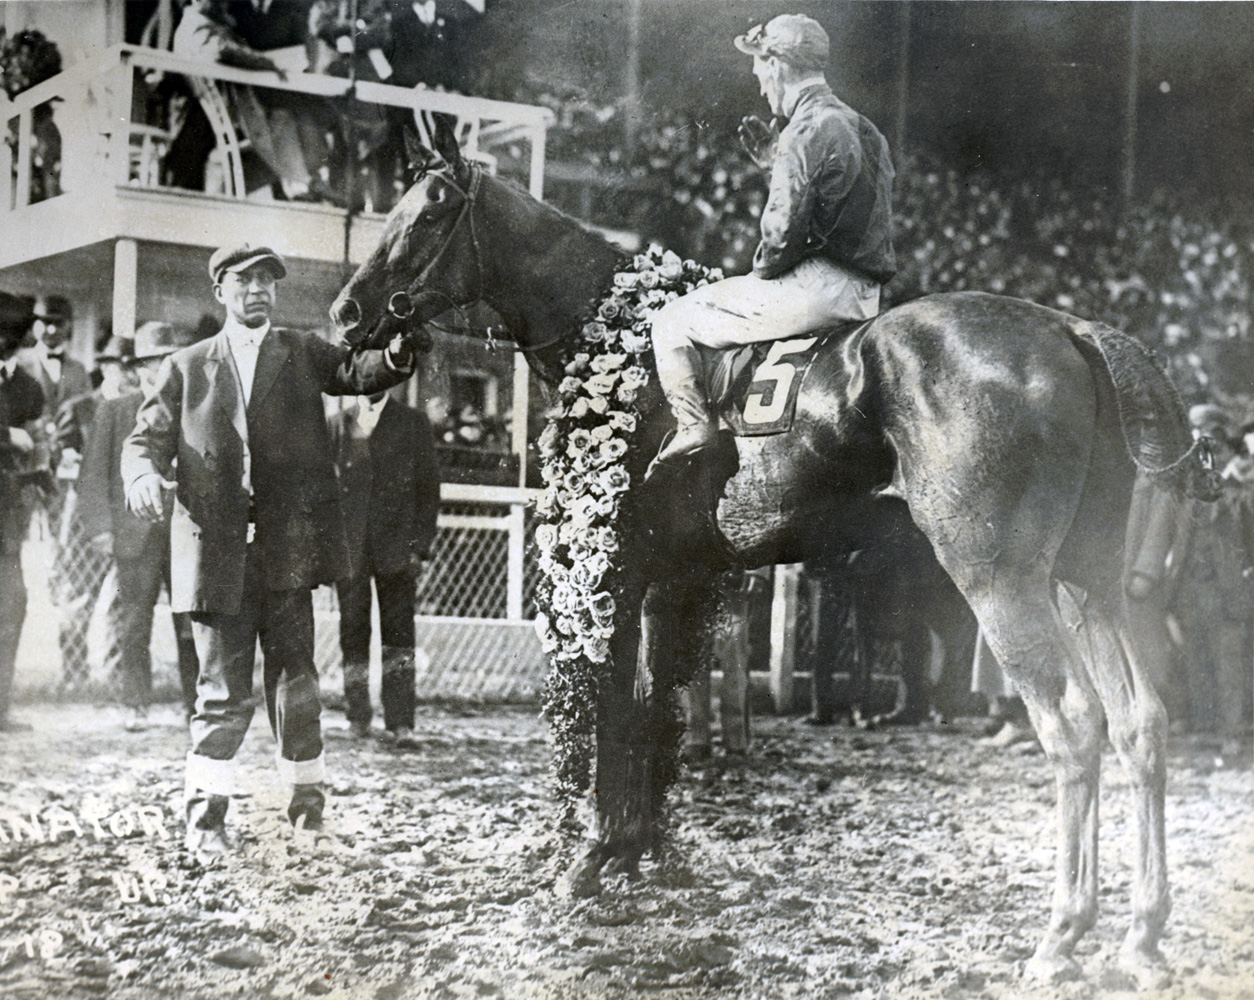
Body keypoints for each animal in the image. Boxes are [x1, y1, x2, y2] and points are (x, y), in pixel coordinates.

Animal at [331, 122, 1203, 983]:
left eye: (428, 211)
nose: (346, 312)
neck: (617, 342)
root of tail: (1071, 328)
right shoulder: (677, 583)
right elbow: (656, 708)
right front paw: (641, 850)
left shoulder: (617, 573)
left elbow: (613, 708)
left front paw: (589, 857)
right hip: (1087, 586)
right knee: (1142, 724)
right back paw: (1144, 935)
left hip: (1003, 585)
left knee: (1076, 728)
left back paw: (1063, 933)